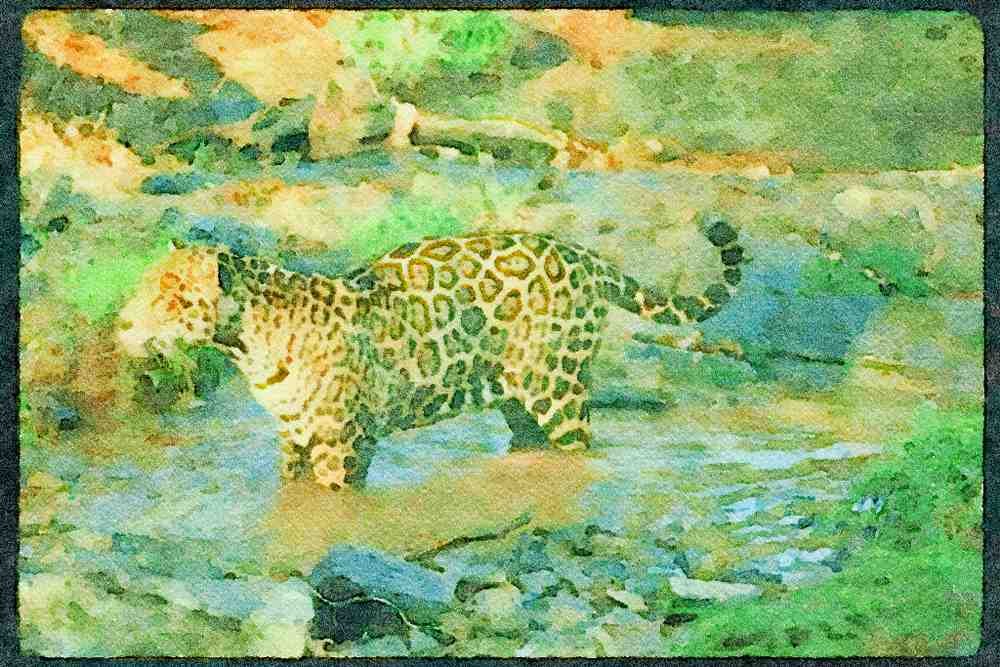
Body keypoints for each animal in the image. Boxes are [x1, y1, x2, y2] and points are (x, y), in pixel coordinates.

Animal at [117, 222, 746, 491]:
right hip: (519, 396)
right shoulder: (292, 435)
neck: (248, 345)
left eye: (171, 297)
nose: (121, 323)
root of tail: (583, 254)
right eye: (145, 284)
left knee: (581, 447)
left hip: (559, 390)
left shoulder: (343, 440)